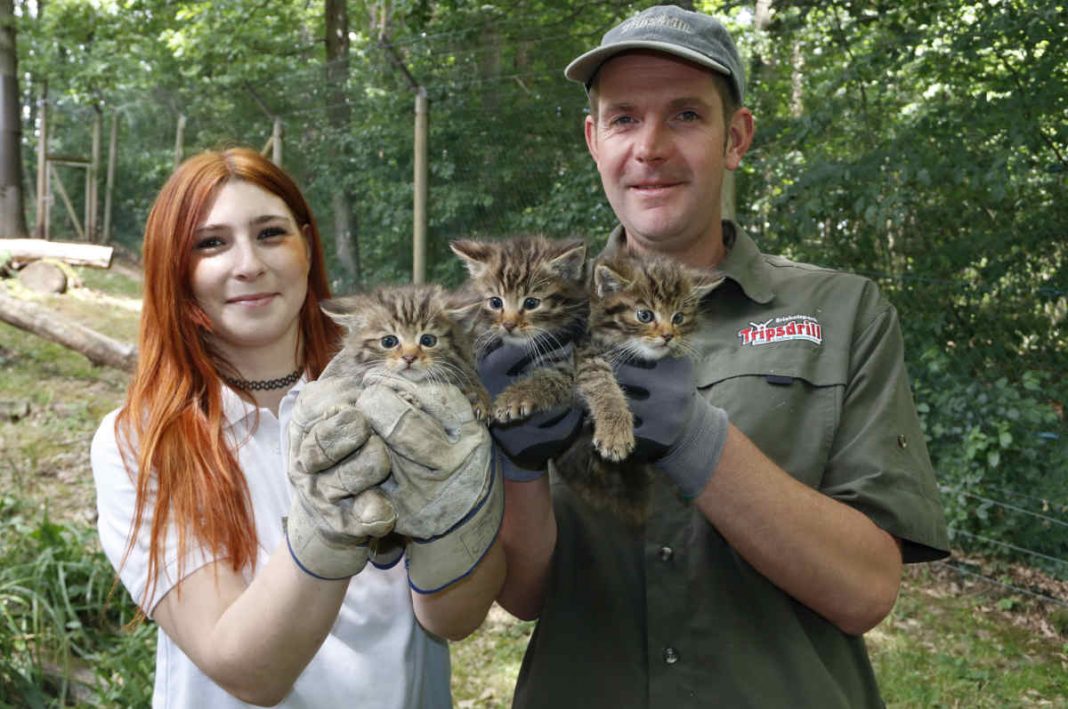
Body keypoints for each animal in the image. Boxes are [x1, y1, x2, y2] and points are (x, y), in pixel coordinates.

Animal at [555, 251, 730, 523]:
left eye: (678, 318)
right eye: (645, 316)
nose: (668, 336)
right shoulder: (585, 347)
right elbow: (599, 381)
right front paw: (614, 429)